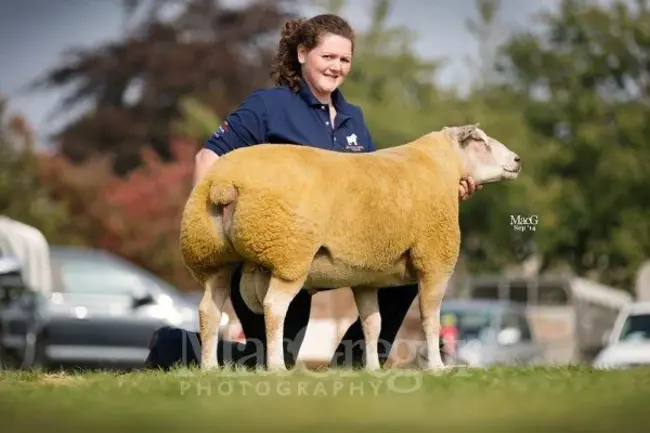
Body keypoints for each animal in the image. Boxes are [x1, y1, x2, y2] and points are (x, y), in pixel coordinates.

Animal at [178, 124, 520, 372]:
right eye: (481, 141)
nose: (517, 161)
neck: (445, 167)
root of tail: (223, 185)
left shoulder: (366, 276)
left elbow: (372, 323)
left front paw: (370, 370)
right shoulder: (434, 262)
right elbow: (430, 319)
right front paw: (436, 367)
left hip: (212, 257)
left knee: (208, 310)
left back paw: (210, 368)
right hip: (289, 254)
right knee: (274, 307)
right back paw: (276, 367)